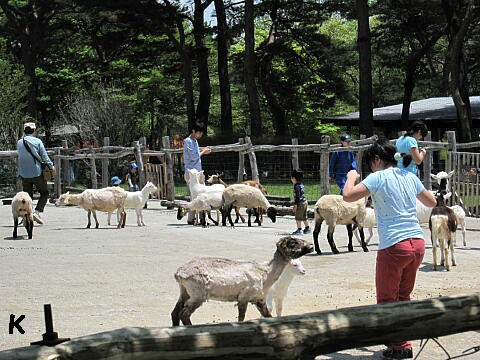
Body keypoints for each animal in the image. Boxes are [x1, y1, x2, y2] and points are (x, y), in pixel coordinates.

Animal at [171, 236, 314, 326]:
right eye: (293, 242)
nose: (312, 246)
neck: (266, 273)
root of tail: (179, 273)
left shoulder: (259, 299)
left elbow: (268, 316)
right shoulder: (244, 297)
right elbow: (241, 318)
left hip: (185, 291)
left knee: (175, 313)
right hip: (198, 294)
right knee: (184, 314)